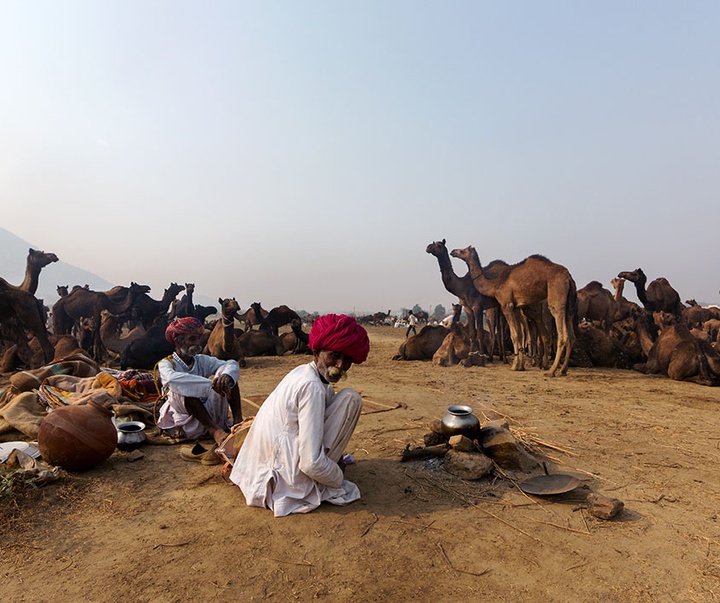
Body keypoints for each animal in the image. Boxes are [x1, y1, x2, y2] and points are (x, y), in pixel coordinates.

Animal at [452, 247, 576, 378]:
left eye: (463, 251)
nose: (453, 251)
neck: (495, 285)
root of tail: (568, 278)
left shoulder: (506, 305)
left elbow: (514, 335)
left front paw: (514, 366)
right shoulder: (516, 307)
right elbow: (520, 335)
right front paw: (520, 366)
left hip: (557, 296)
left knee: (562, 335)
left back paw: (551, 371)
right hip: (569, 305)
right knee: (571, 336)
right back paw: (562, 370)